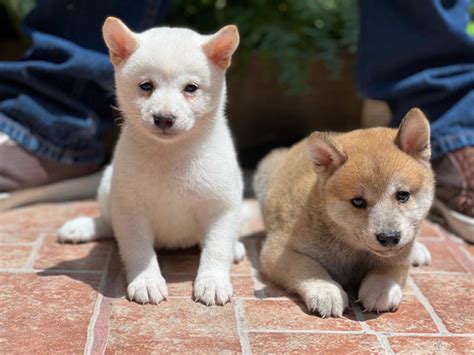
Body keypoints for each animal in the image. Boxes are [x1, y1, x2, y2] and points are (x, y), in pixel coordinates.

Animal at [58, 17, 244, 306]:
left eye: (191, 88)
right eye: (146, 86)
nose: (164, 118)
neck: (170, 154)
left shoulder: (222, 206)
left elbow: (217, 247)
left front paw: (212, 281)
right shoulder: (130, 209)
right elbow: (138, 249)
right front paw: (146, 280)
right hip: (108, 187)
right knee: (108, 222)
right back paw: (83, 227)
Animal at [254, 109, 436, 320]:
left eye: (403, 195)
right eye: (358, 201)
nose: (389, 237)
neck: (353, 251)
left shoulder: (398, 254)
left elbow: (393, 266)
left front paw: (382, 287)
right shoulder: (276, 251)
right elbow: (308, 266)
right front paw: (325, 290)